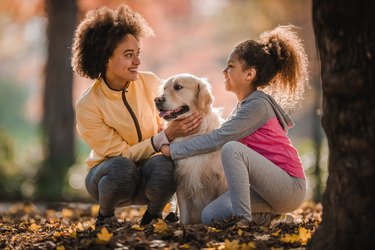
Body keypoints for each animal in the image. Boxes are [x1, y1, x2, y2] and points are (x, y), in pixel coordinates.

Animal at [154, 73, 228, 224]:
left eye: (178, 87)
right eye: (164, 88)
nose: (157, 100)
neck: (192, 137)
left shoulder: (220, 180)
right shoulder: (182, 180)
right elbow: (184, 216)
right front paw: (183, 227)